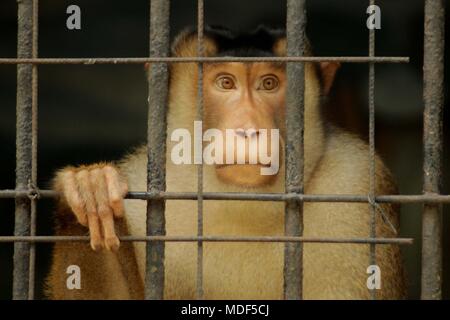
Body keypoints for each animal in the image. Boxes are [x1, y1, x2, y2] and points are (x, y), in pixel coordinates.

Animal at [44, 26, 406, 298]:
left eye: (269, 84)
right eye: (225, 83)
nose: (247, 129)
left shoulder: (356, 185)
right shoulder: (141, 195)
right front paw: (89, 191)